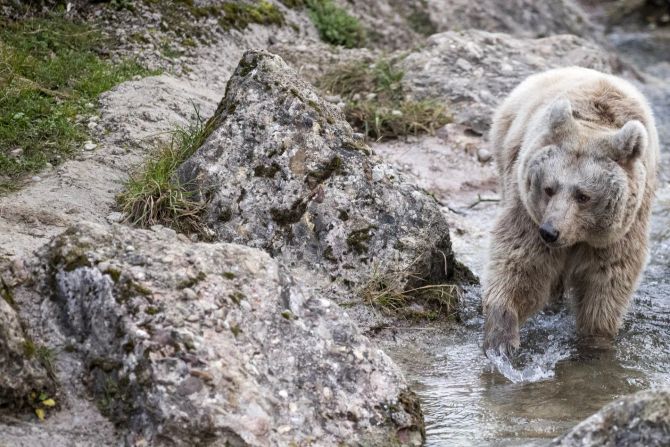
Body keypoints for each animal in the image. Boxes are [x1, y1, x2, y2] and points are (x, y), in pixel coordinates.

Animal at [482, 66, 659, 355]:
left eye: (583, 195)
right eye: (549, 188)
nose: (550, 232)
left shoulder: (621, 230)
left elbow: (606, 282)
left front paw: (595, 341)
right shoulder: (529, 211)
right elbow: (521, 260)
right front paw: (501, 338)